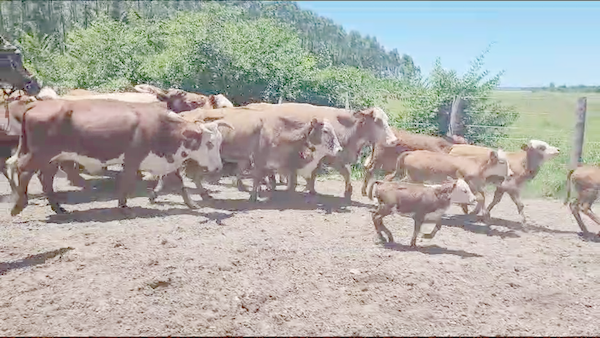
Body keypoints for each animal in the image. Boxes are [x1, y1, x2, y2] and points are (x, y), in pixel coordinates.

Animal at [12, 99, 232, 215]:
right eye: (209, 143)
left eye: (220, 142)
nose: (219, 167)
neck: (161, 127)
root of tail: (35, 105)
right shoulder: (133, 158)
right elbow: (126, 180)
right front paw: (123, 204)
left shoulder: (166, 162)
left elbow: (179, 182)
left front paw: (191, 204)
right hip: (40, 153)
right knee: (23, 170)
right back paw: (19, 205)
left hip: (53, 158)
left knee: (45, 178)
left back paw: (58, 208)